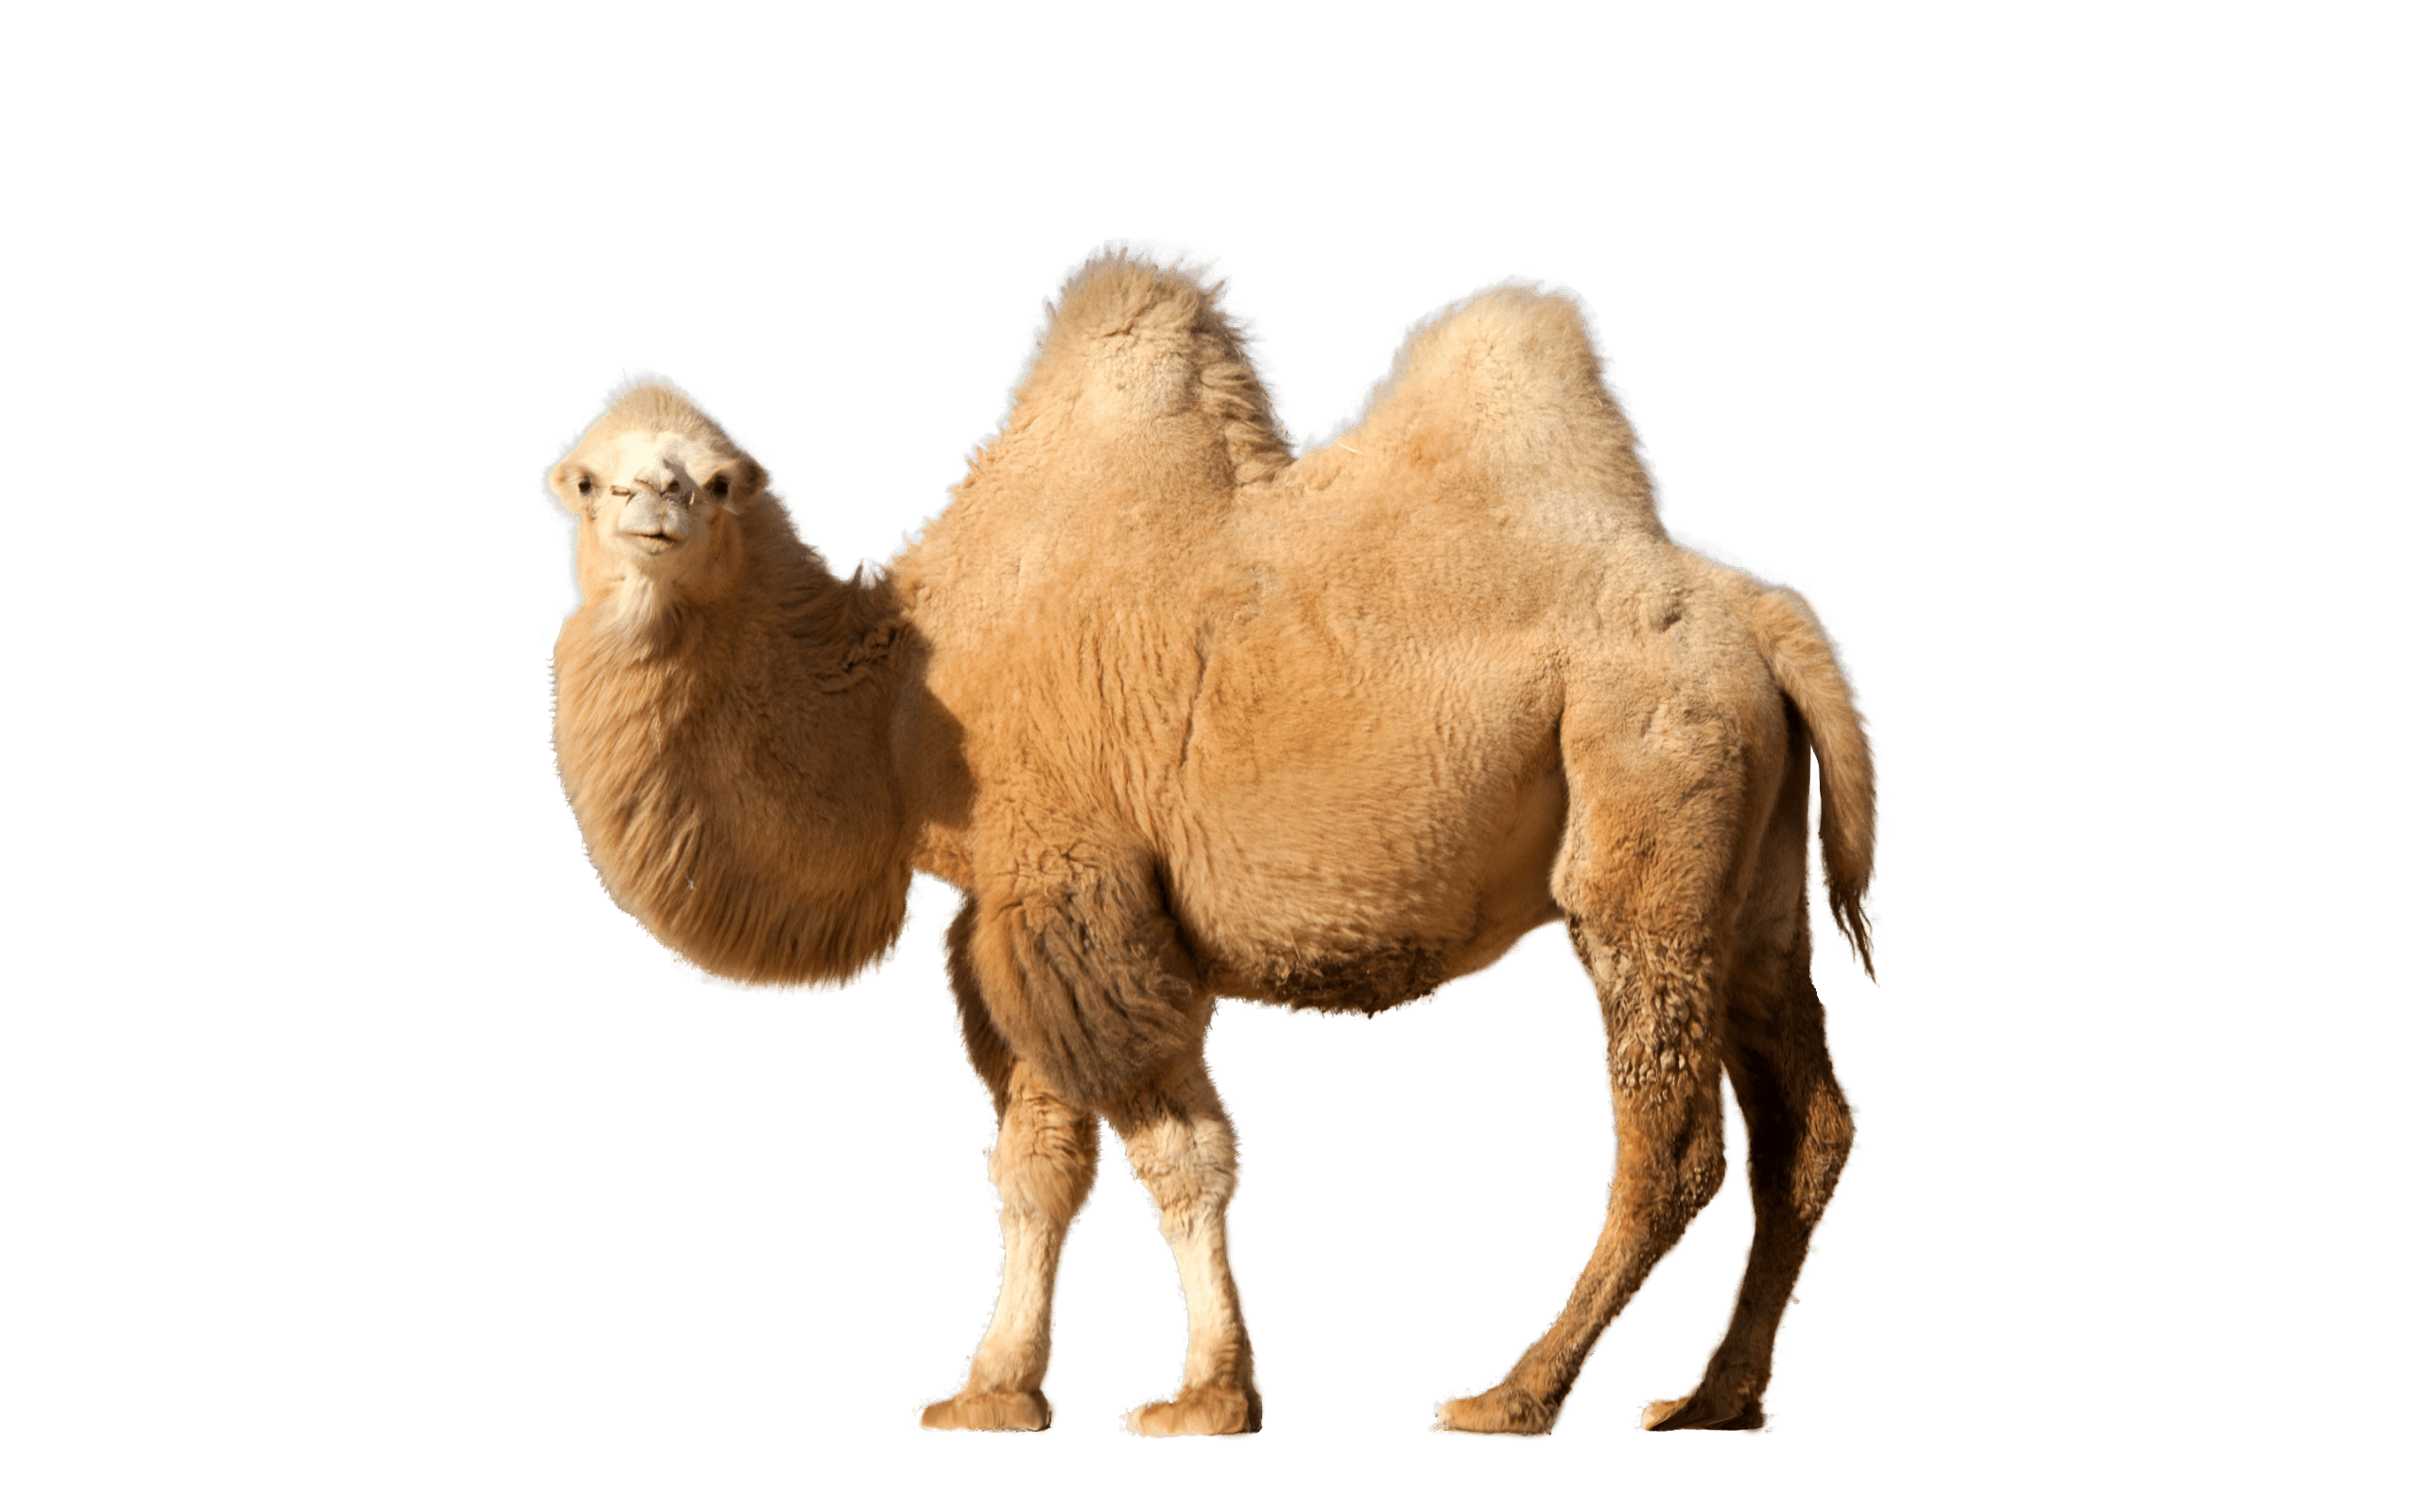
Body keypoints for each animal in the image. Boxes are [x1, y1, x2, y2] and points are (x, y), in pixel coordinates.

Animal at [541, 239, 1880, 1441]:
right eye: (589, 480)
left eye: (716, 482)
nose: (654, 508)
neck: (901, 695)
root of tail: (1773, 618)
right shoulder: (1019, 914)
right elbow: (1039, 1162)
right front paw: (1002, 1392)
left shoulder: (1072, 887)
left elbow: (1171, 1154)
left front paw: (1195, 1398)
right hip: (1753, 870)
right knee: (1806, 1119)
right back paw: (1714, 1401)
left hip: (1645, 798)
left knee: (1671, 1137)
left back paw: (1512, 1396)